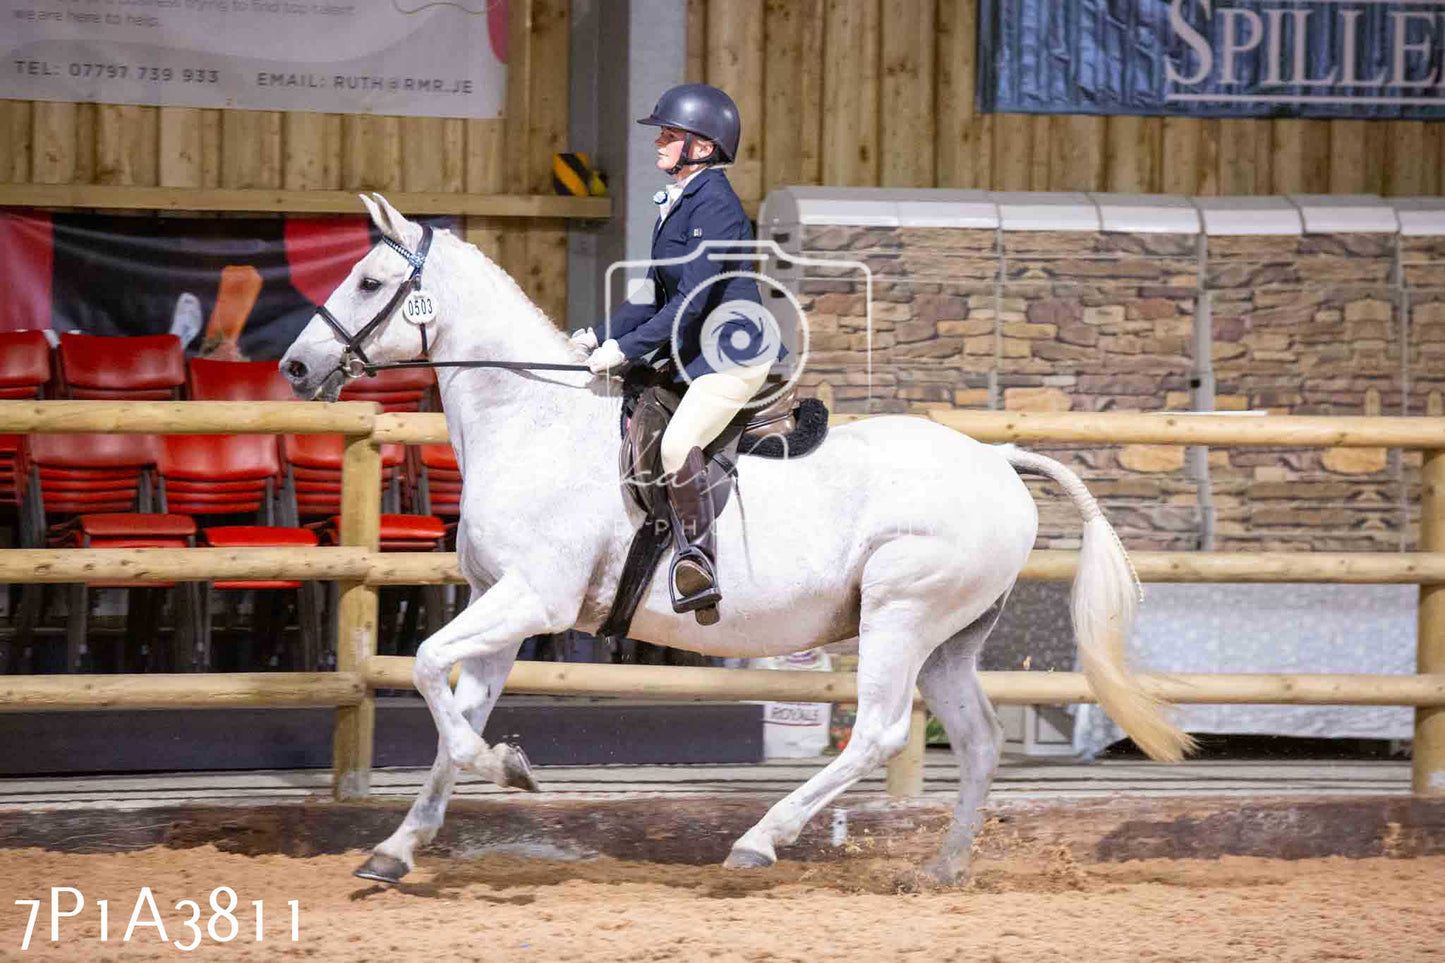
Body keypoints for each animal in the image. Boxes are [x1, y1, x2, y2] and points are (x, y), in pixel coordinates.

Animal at [275, 190, 1190, 879]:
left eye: (369, 281)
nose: (294, 367)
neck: (530, 418)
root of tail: (996, 459)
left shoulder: (535, 599)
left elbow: (430, 668)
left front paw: (504, 765)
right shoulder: (501, 605)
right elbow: (449, 708)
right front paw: (398, 846)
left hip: (900, 612)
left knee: (879, 729)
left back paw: (759, 839)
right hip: (950, 637)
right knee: (976, 738)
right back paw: (942, 869)